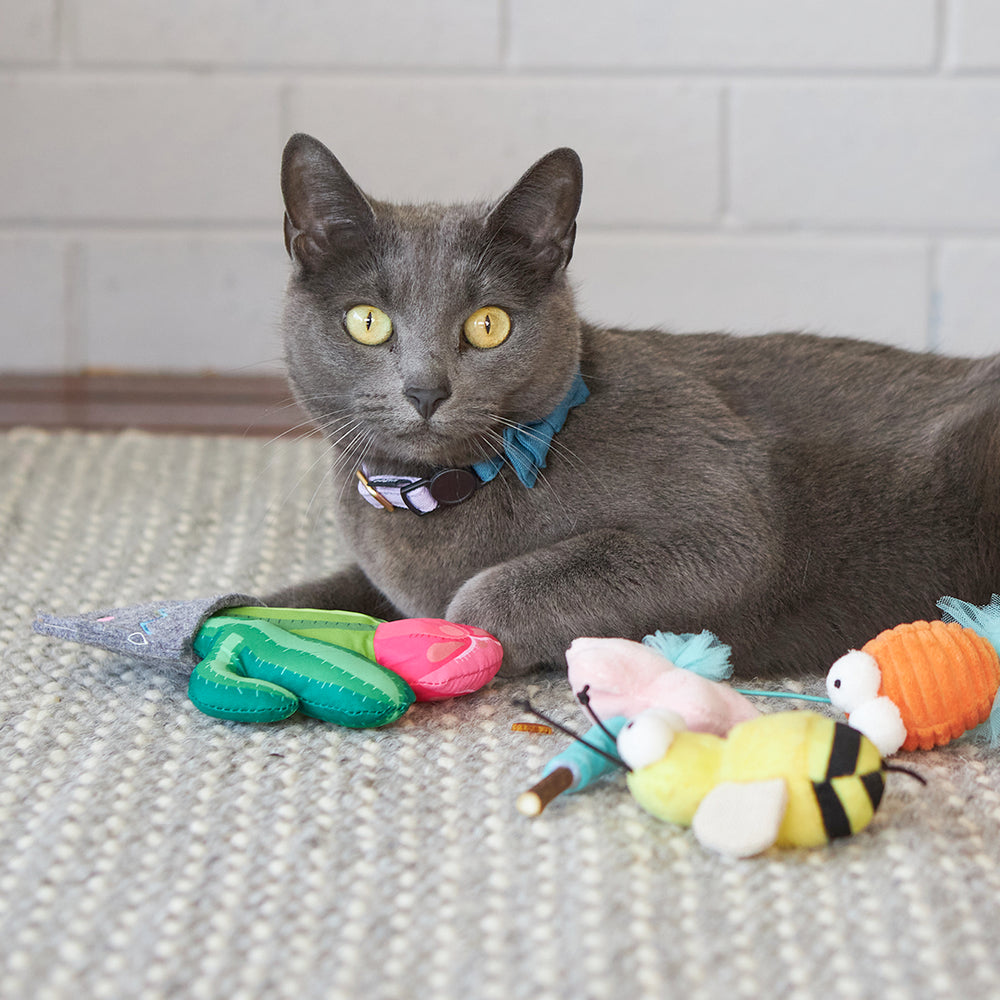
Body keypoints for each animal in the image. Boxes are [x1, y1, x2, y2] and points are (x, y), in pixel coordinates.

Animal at [270, 135, 1000, 680]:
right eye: (367, 321)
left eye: (488, 325)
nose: (426, 390)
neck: (436, 494)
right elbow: (337, 589)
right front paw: (259, 607)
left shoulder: (724, 532)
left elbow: (486, 591)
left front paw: (448, 640)